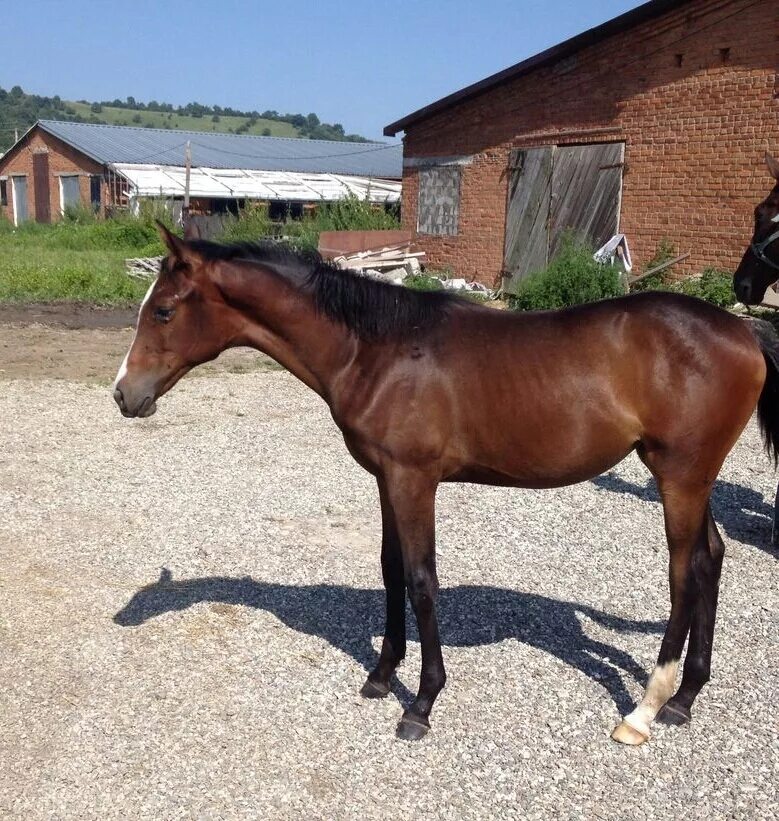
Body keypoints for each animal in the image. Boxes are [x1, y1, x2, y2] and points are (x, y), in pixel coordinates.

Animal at [112, 216, 776, 744]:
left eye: (164, 310)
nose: (123, 394)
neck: (375, 348)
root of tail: (743, 330)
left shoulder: (415, 480)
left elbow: (422, 579)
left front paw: (422, 704)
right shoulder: (386, 478)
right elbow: (390, 570)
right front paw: (382, 676)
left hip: (679, 476)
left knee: (685, 573)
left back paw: (644, 710)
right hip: (692, 476)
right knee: (712, 558)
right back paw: (686, 699)